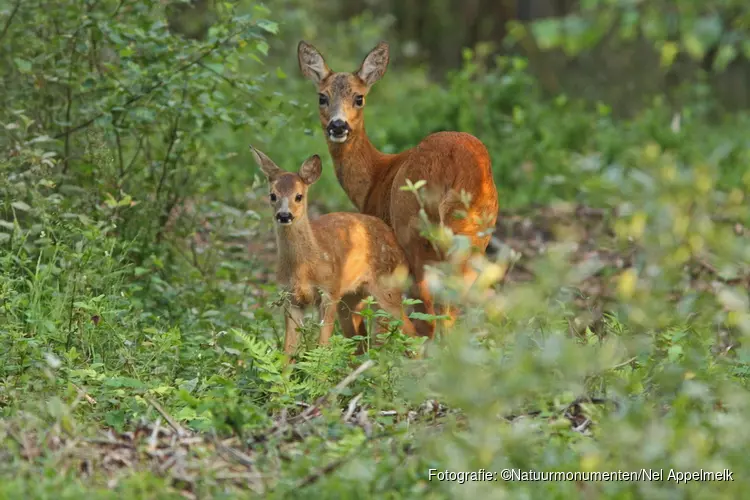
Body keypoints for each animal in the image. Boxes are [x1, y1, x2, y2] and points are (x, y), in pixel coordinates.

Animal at [251, 146, 418, 358]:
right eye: (272, 195)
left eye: (299, 196)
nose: (284, 215)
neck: (304, 267)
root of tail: (395, 240)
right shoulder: (291, 298)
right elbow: (288, 352)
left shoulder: (330, 291)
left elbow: (322, 346)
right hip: (351, 299)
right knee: (360, 342)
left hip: (388, 288)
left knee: (410, 332)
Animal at [298, 39, 500, 336]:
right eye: (322, 97)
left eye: (359, 98)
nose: (338, 125)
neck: (375, 177)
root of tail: (455, 167)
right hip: (476, 234)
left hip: (413, 230)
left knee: (430, 316)